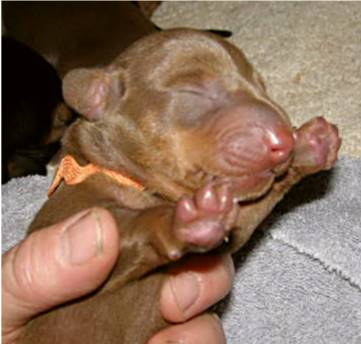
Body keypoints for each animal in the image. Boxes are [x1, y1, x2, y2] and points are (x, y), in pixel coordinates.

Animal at [19, 27, 340, 344]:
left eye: (262, 86)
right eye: (191, 89)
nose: (283, 139)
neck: (140, 186)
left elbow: (244, 219)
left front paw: (310, 144)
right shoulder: (77, 215)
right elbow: (122, 234)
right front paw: (190, 219)